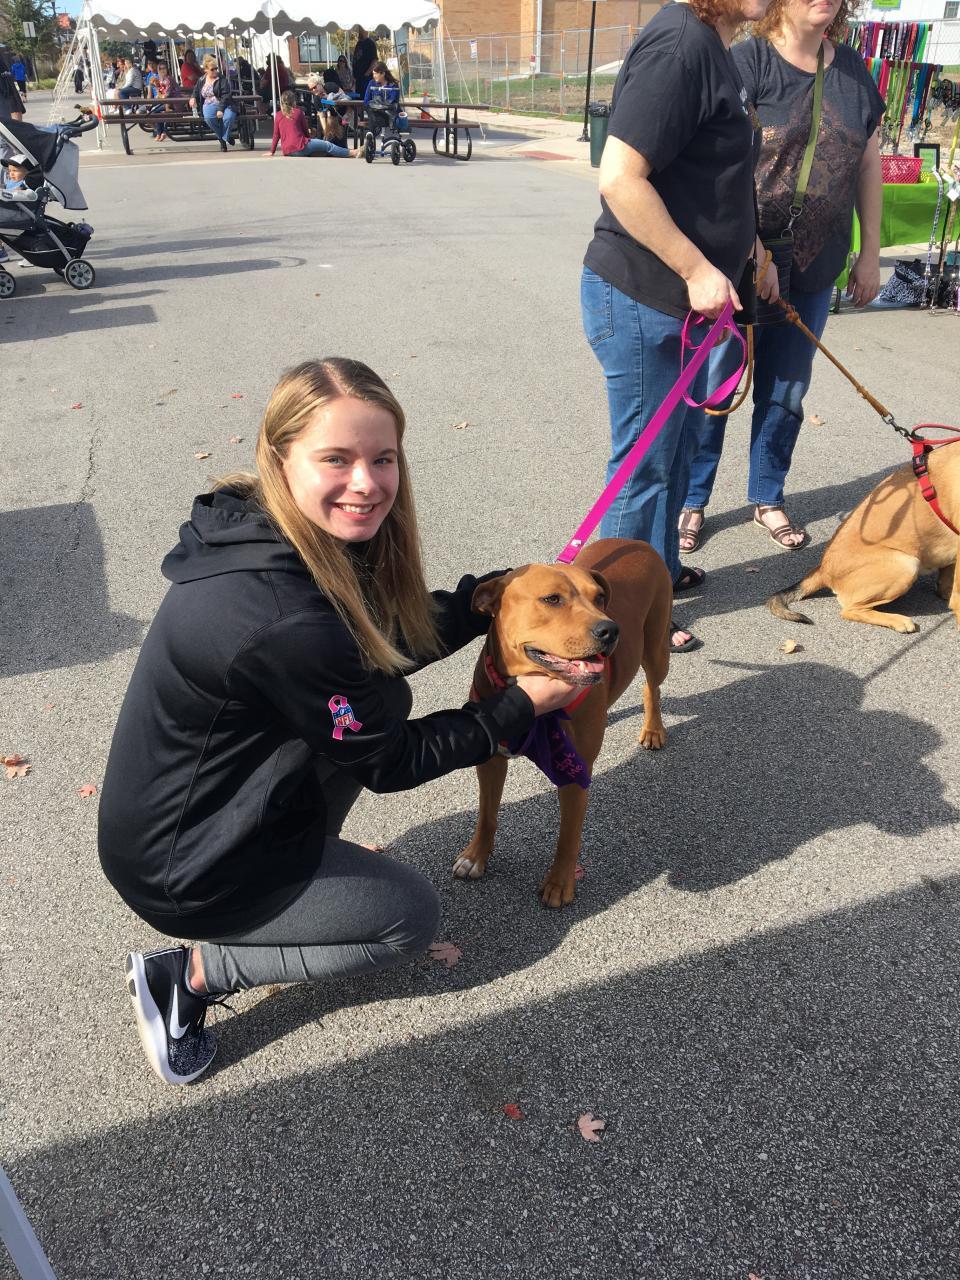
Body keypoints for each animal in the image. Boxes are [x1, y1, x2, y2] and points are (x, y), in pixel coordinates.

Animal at [453, 537, 672, 908]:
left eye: (598, 598)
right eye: (552, 599)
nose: (610, 629)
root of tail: (637, 542)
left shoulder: (573, 770)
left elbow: (568, 836)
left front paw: (559, 883)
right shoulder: (492, 757)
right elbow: (487, 813)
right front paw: (476, 856)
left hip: (658, 648)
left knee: (652, 687)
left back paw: (654, 728)